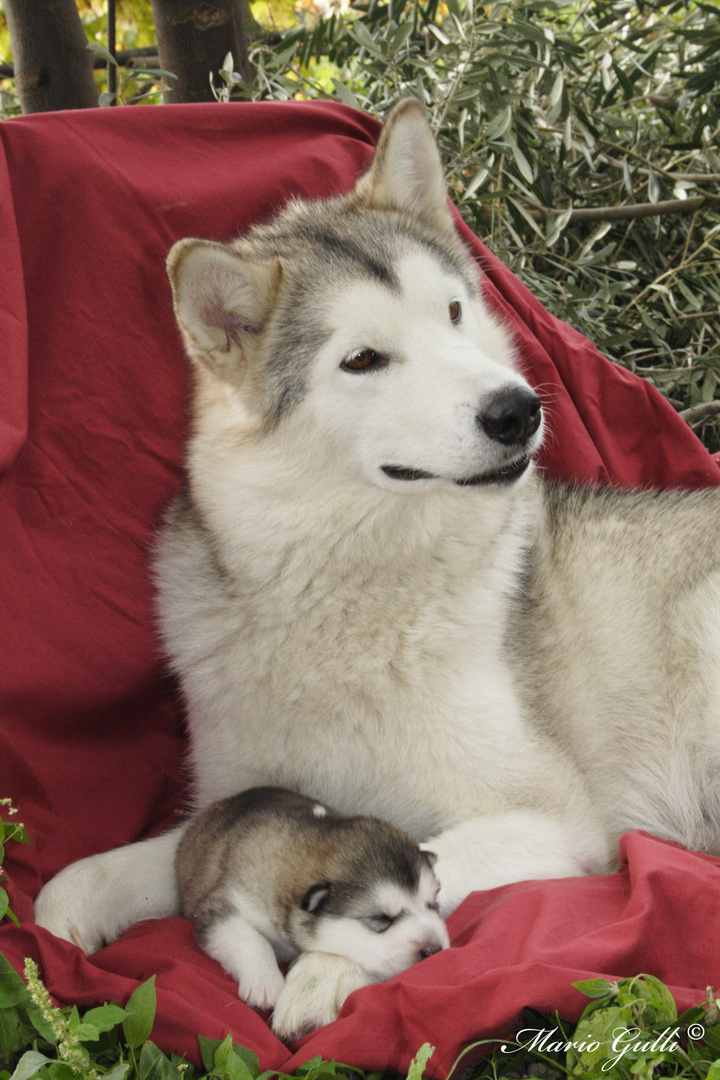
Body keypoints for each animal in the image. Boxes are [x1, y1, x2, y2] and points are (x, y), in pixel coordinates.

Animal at [35, 101, 720, 1036]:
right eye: (362, 359)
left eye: (455, 312)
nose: (517, 410)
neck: (355, 593)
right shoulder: (239, 801)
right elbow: (106, 873)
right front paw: (61, 939)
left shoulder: (556, 820)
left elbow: (423, 864)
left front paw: (329, 968)